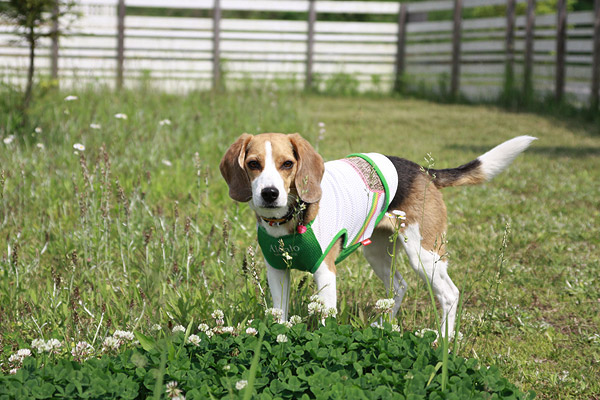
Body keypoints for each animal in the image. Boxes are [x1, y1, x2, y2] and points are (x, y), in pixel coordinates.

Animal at [219, 133, 536, 336]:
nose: (269, 193)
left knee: (449, 293)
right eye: (253, 164)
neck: (288, 220)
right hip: (375, 250)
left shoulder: (325, 272)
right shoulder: (277, 271)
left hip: (422, 254)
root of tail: (424, 170)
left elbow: (325, 319)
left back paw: (442, 342)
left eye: (287, 164)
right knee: (399, 286)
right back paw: (385, 327)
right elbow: (280, 316)